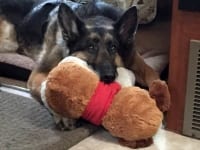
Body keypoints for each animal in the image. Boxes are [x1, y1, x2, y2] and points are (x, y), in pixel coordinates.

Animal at [0, 0, 170, 129]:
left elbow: (153, 74)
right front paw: (62, 114)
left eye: (113, 47)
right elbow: (47, 88)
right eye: (91, 47)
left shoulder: (136, 60)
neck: (97, 18)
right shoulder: (39, 73)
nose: (108, 77)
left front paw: (161, 98)